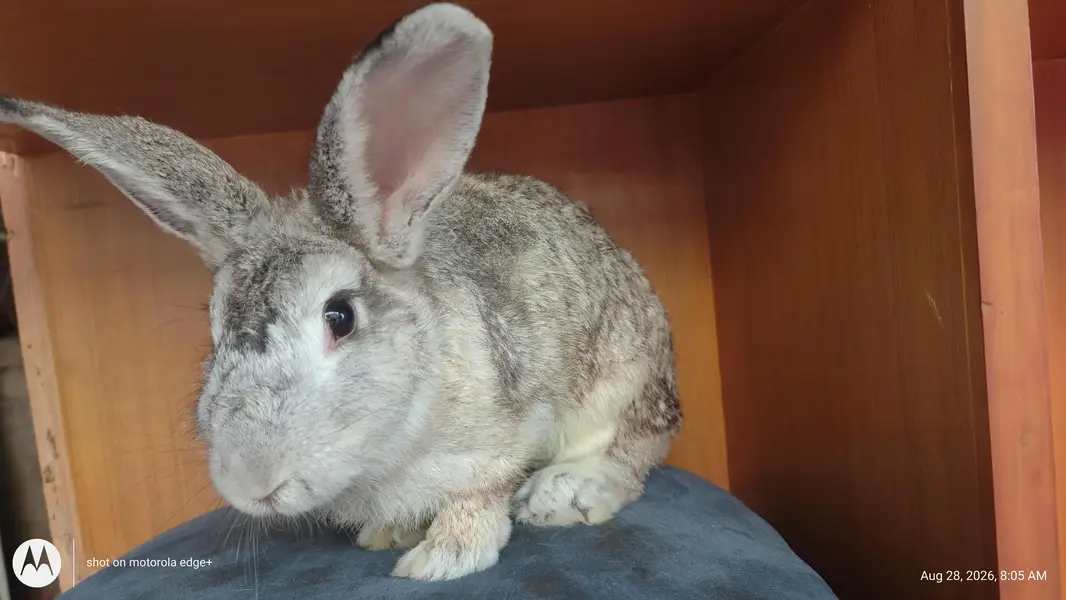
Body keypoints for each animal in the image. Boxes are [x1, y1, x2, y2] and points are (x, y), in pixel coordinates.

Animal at [0, 2, 682, 581]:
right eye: (214, 329)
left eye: (341, 316)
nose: (252, 483)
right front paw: (390, 534)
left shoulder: (496, 446)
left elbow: (478, 499)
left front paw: (440, 560)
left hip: (624, 379)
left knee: (633, 452)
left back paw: (561, 494)